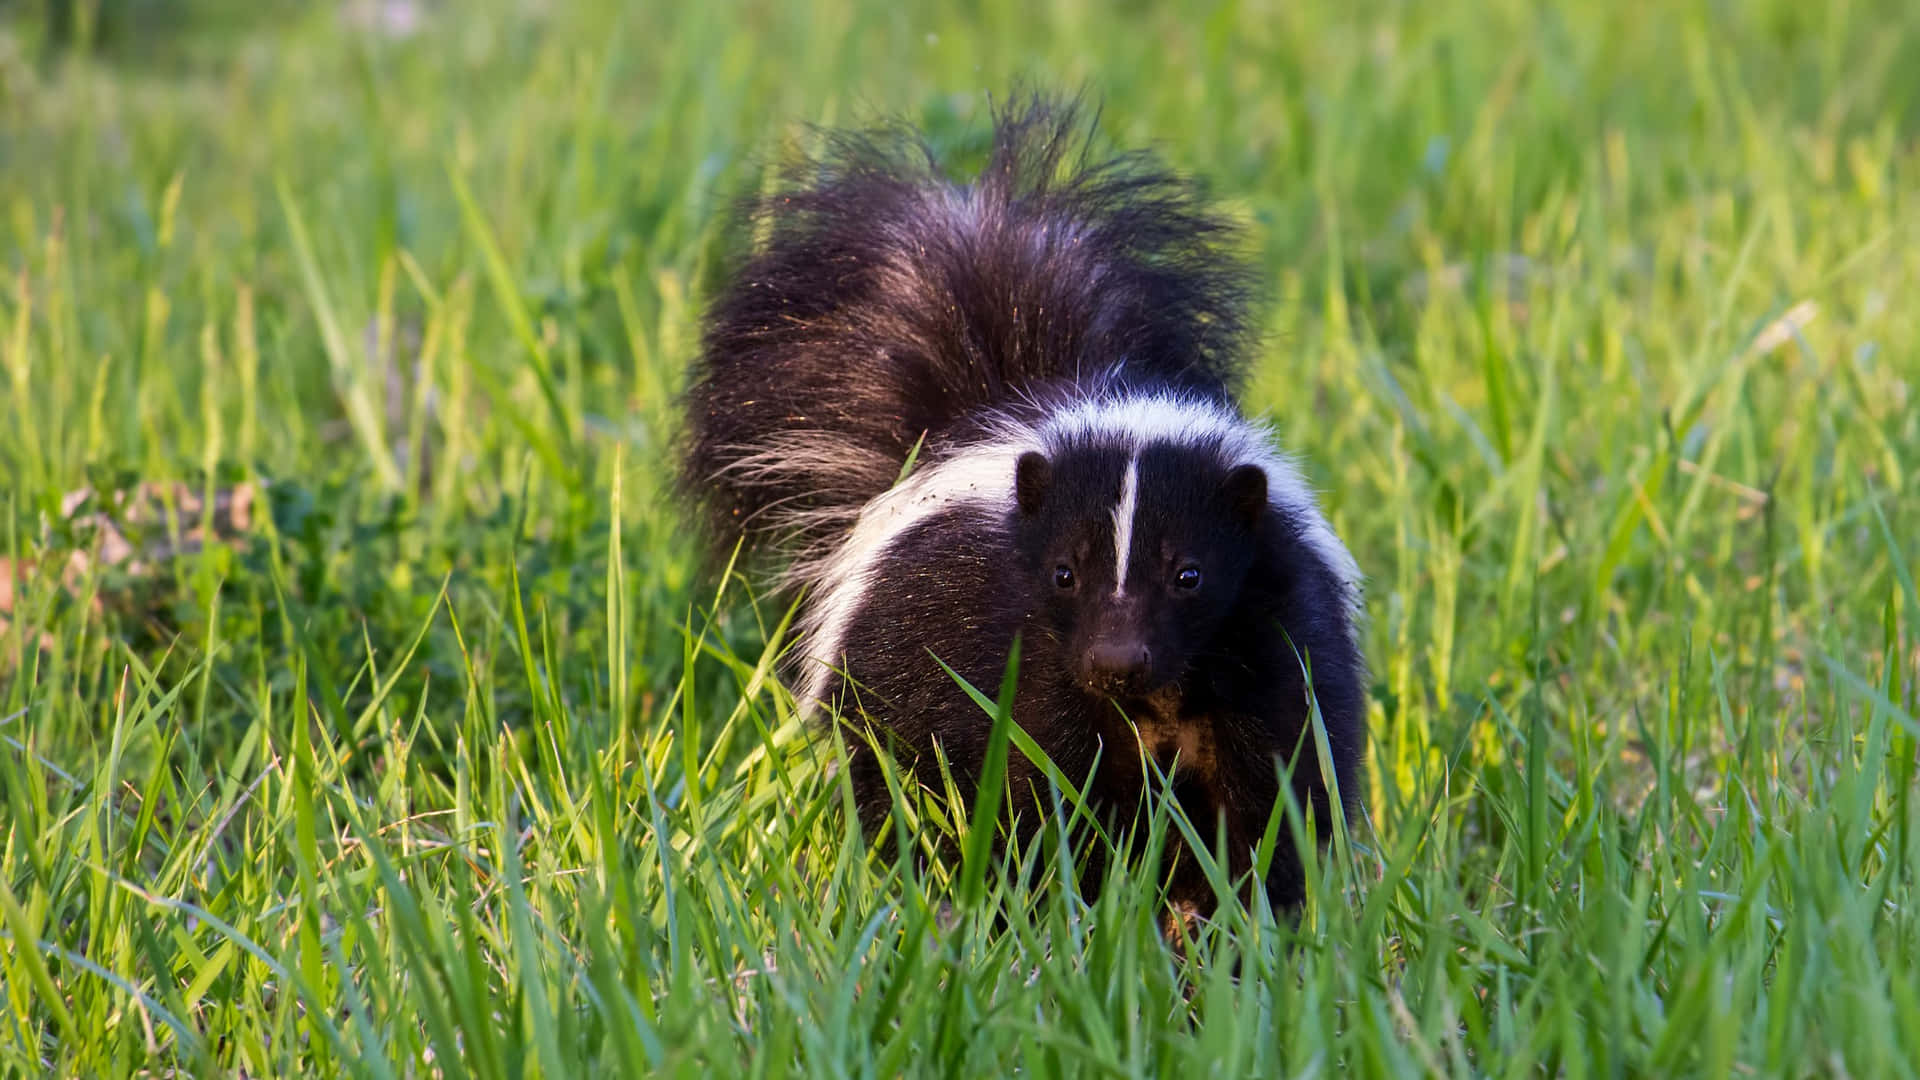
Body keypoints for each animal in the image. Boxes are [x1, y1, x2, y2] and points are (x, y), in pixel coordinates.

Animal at [675, 94, 1367, 907]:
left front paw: (1229, 914)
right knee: (896, 784)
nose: (1115, 660)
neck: (1158, 705)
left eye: (1189, 575)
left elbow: (1274, 797)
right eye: (1063, 573)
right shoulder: (1017, 654)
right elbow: (1038, 788)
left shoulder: (1276, 642)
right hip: (887, 678)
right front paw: (1059, 905)